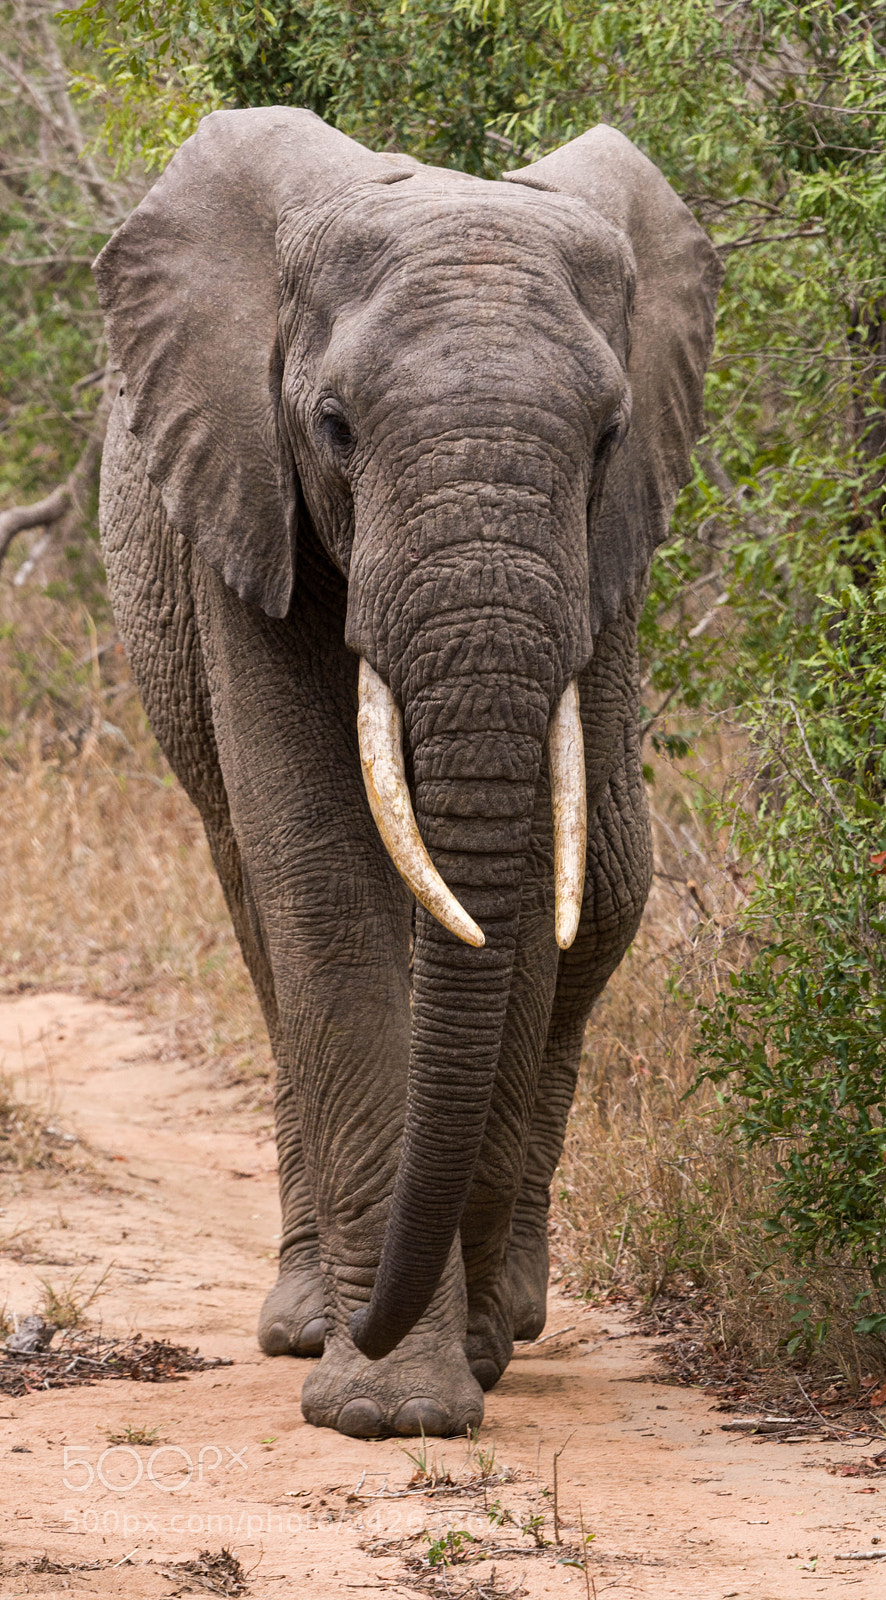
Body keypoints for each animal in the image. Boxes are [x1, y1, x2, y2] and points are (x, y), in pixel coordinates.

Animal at [93, 106, 721, 1439]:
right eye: (333, 427)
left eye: (607, 437)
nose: (382, 1317)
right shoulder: (243, 503)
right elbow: (321, 872)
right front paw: (384, 1404)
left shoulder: (599, 562)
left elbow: (531, 886)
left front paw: (450, 1361)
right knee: (257, 903)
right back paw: (309, 1319)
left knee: (610, 883)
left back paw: (503, 1314)